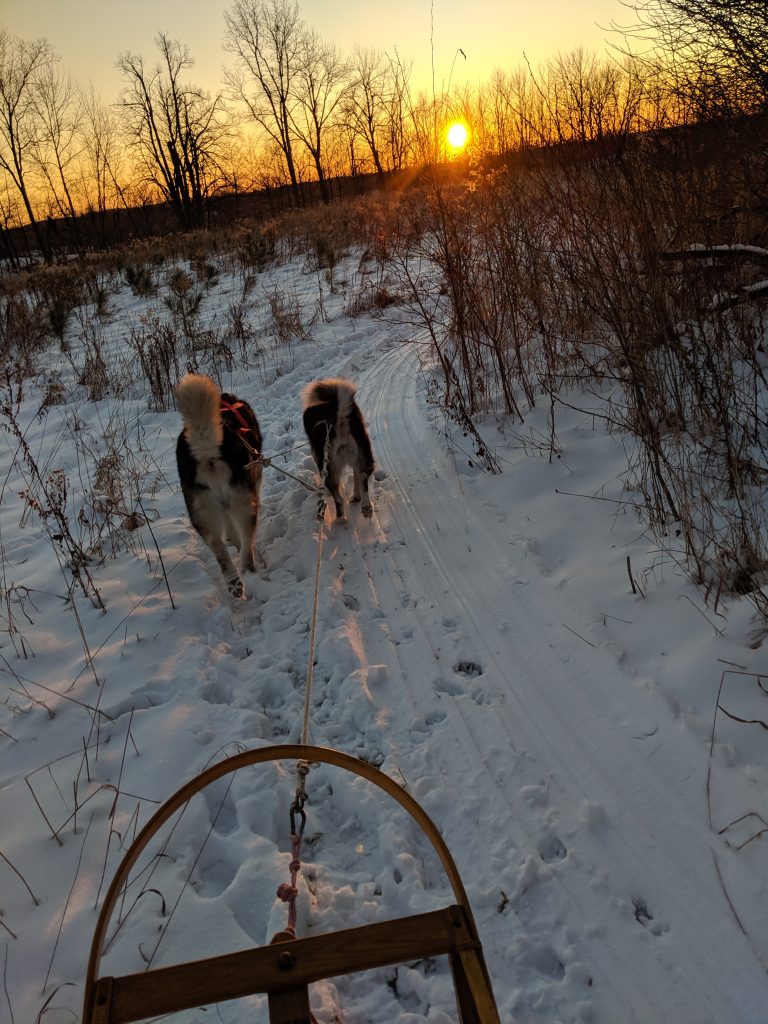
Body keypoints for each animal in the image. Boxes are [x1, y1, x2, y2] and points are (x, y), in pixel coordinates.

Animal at [176, 372, 264, 598]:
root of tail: (206, 449)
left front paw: (232, 541)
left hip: (202, 512)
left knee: (219, 548)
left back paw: (234, 582)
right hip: (244, 503)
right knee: (247, 547)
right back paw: (248, 571)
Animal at [303, 378, 374, 520]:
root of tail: (339, 419)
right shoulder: (356, 460)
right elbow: (357, 476)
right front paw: (356, 497)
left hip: (329, 467)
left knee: (339, 498)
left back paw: (340, 519)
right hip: (363, 454)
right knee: (362, 477)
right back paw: (365, 505)